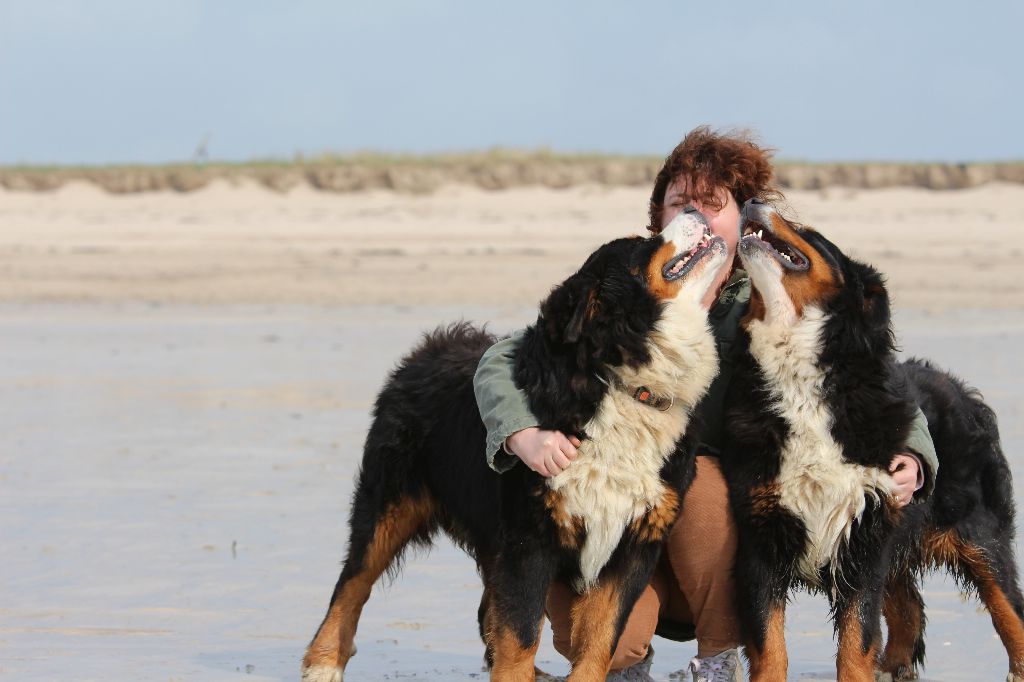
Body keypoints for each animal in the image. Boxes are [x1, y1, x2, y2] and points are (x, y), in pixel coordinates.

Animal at [301, 208, 729, 679]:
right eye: (644, 241)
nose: (697, 211)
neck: (620, 381)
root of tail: (433, 345)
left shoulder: (633, 543)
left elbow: (600, 639)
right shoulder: (531, 538)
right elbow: (521, 633)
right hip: (388, 504)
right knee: (351, 586)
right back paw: (322, 663)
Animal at [720, 197, 1024, 679]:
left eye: (808, 229)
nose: (753, 201)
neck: (800, 379)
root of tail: (959, 387)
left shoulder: (864, 537)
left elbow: (855, 640)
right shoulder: (761, 541)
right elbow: (770, 645)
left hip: (980, 535)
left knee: (1008, 608)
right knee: (909, 607)